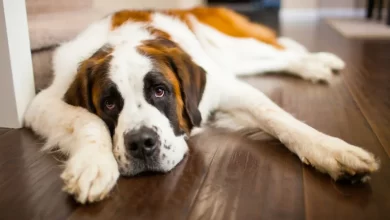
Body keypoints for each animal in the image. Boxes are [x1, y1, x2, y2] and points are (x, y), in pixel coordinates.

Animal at [22, 6, 380, 203]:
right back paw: (315, 65)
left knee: (282, 50)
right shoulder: (43, 102)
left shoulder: (224, 87)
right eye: (109, 104)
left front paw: (331, 149)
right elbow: (87, 120)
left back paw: (320, 61)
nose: (141, 143)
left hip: (237, 46)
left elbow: (275, 115)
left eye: (160, 92)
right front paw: (93, 165)